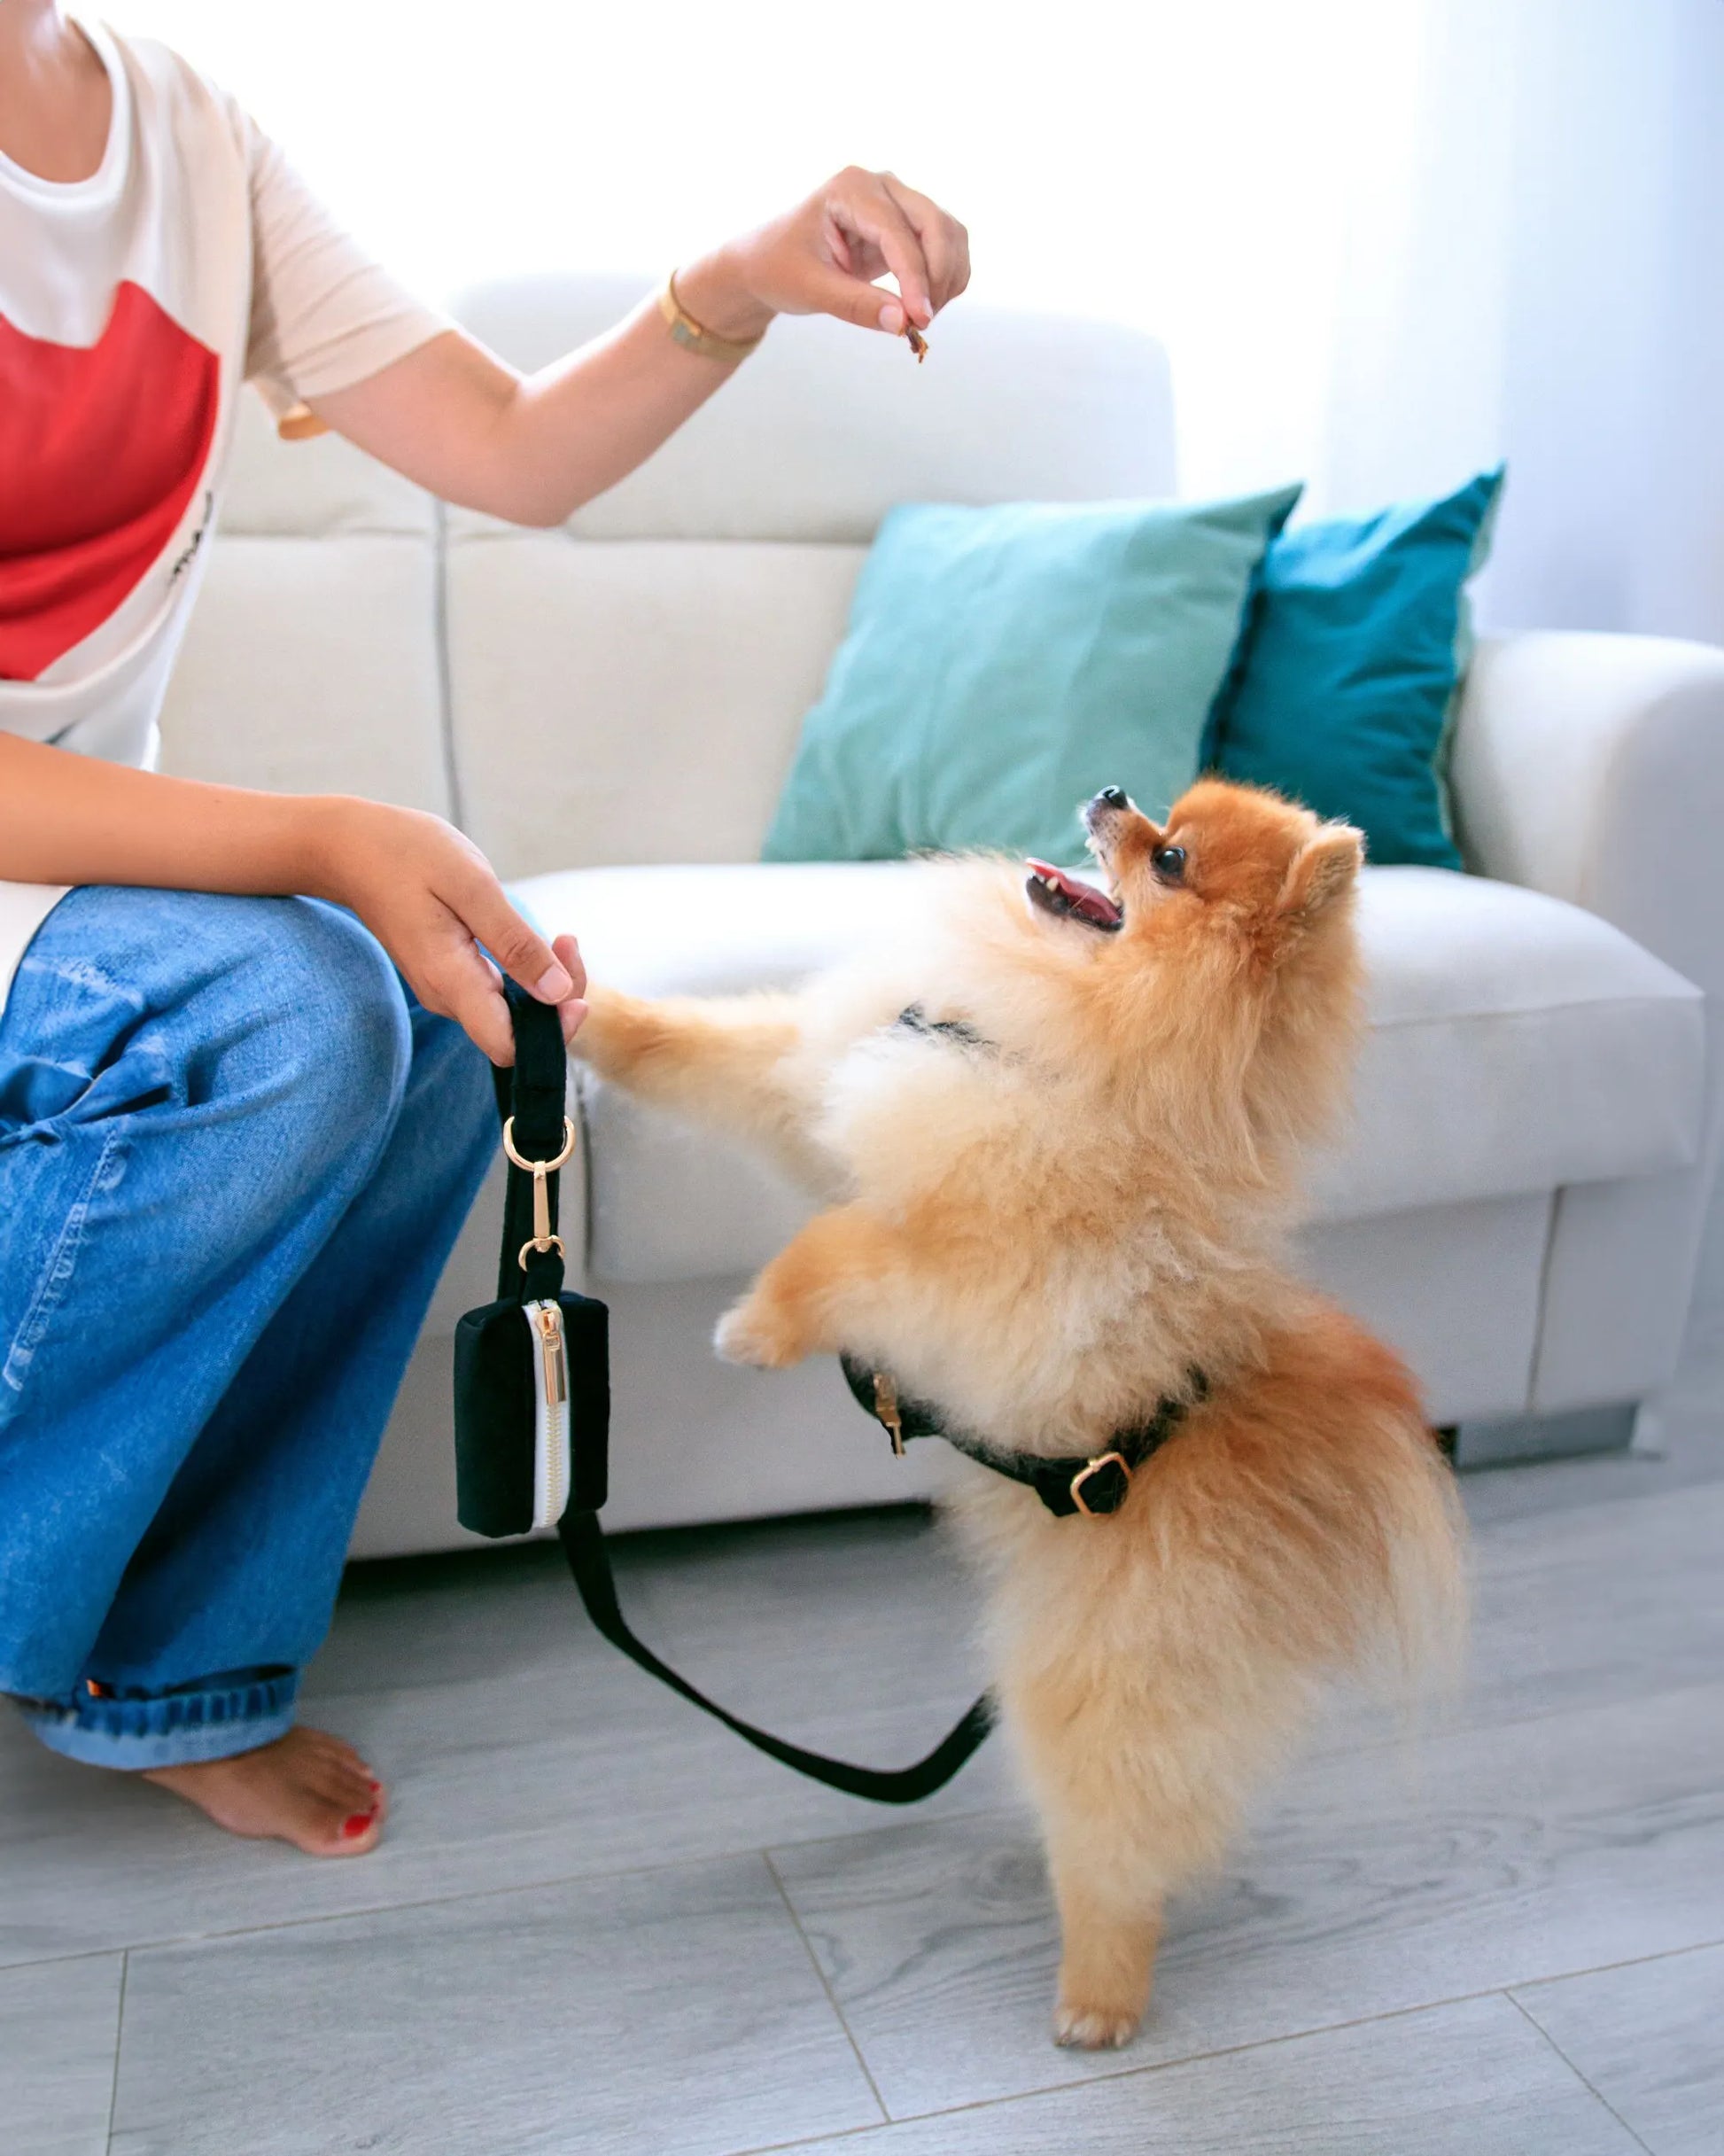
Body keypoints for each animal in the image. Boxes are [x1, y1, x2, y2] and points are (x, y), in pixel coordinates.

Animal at [573, 780, 1465, 2052]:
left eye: (1171, 858)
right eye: (1160, 805)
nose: (1109, 794)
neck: (1048, 1029)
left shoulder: (967, 1279)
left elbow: (834, 1245)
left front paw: (753, 1327)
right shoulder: (830, 1075)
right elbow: (710, 1056)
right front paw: (571, 1001)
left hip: (1101, 1686)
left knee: (1119, 1849)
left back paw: (1096, 1997)